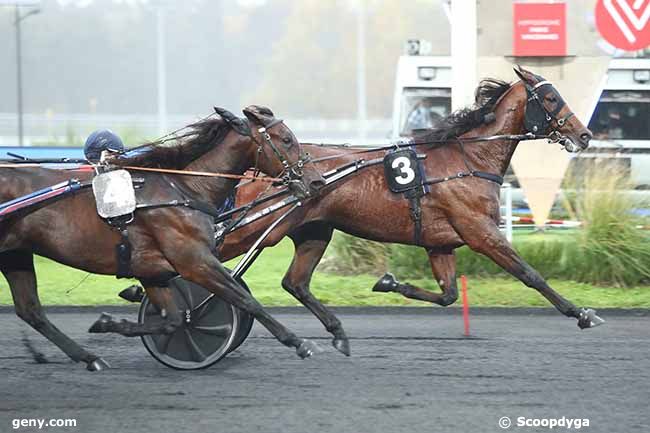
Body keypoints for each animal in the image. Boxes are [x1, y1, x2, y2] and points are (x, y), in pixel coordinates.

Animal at [0, 104, 324, 368]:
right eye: (286, 139)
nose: (317, 181)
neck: (184, 190)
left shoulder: (153, 270)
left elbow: (174, 319)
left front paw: (107, 323)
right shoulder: (195, 262)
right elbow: (247, 301)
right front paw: (299, 342)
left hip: (15, 256)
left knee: (31, 311)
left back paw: (88, 357)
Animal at [216, 67, 596, 354]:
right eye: (551, 98)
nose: (585, 135)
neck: (468, 161)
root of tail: (253, 168)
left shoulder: (440, 243)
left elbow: (448, 294)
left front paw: (388, 282)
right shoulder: (481, 232)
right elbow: (530, 275)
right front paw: (581, 313)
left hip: (314, 231)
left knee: (294, 283)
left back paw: (337, 333)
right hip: (255, 228)